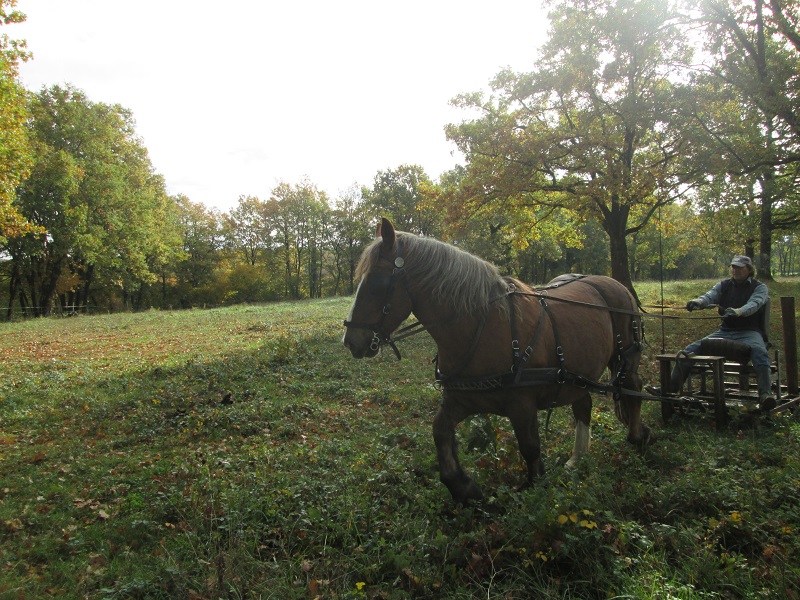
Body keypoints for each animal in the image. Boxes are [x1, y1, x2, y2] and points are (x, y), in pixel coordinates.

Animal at [340, 218, 652, 504]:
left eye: (376, 282)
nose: (350, 341)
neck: (482, 324)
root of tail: (615, 284)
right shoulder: (461, 399)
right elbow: (440, 431)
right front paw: (463, 487)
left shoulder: (522, 403)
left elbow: (530, 449)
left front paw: (535, 488)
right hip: (577, 373)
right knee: (583, 403)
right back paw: (578, 457)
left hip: (626, 358)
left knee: (633, 388)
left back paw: (637, 436)